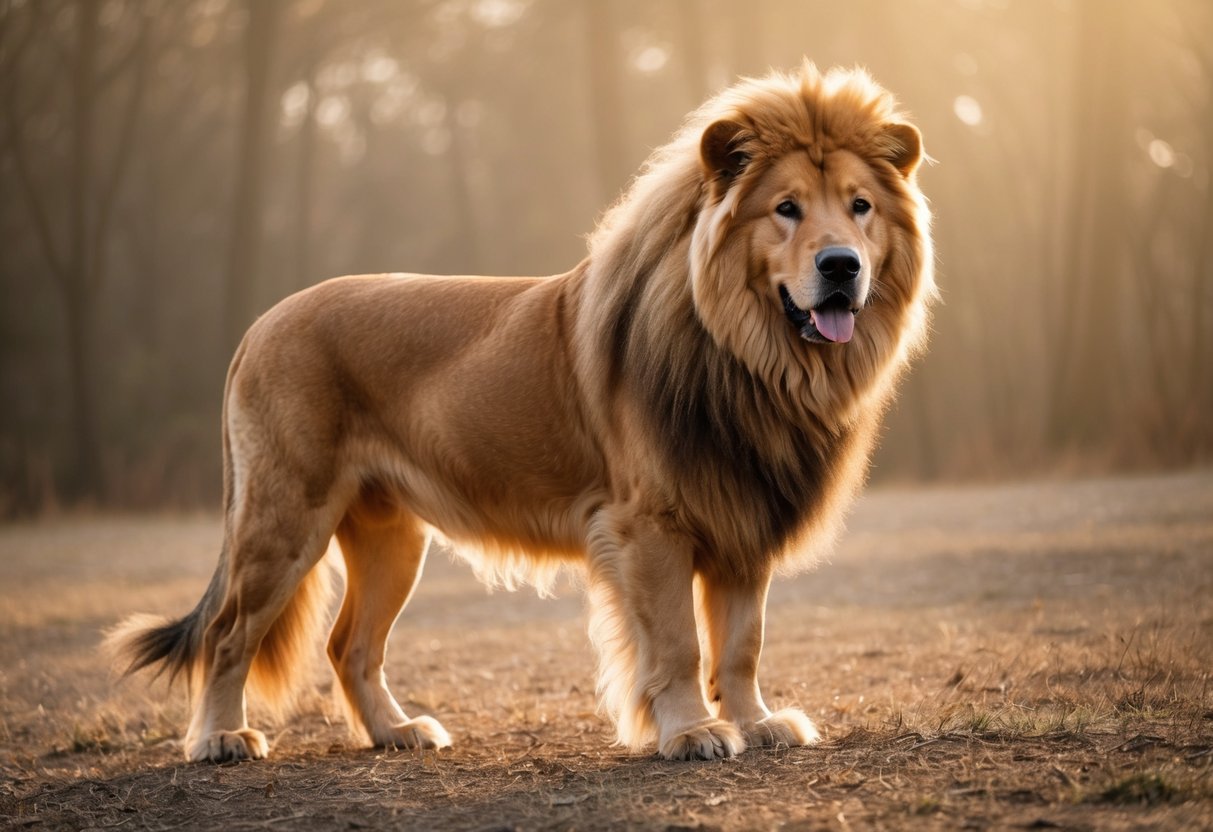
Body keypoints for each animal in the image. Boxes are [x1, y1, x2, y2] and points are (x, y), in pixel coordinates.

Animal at [110, 61, 934, 763]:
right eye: (786, 209)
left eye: (859, 207)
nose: (841, 266)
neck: (758, 359)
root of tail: (261, 324)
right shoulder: (649, 524)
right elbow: (676, 645)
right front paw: (691, 733)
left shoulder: (743, 518)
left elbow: (741, 645)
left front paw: (758, 724)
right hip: (284, 517)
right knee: (227, 635)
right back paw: (221, 740)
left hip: (389, 536)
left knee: (350, 646)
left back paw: (398, 733)